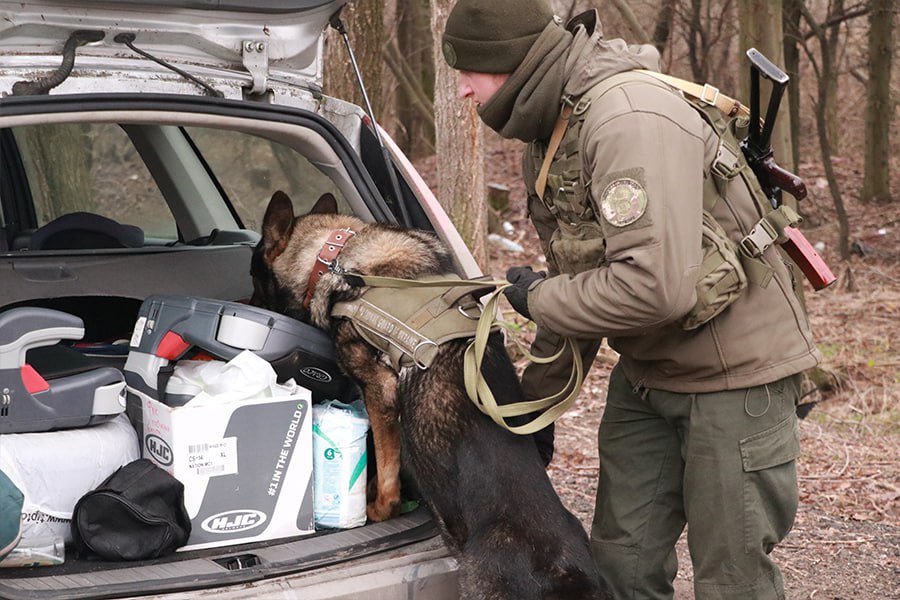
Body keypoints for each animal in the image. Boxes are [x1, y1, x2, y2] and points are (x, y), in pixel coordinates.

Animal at [250, 192, 608, 600]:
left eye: (253, 277)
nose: (246, 303)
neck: (336, 254)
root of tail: (568, 575)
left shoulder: (380, 390)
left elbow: (387, 469)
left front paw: (379, 508)